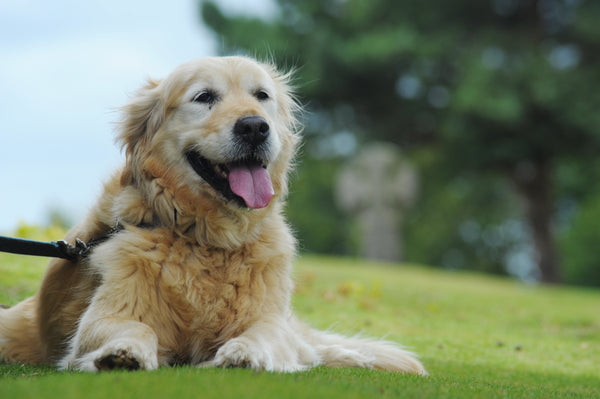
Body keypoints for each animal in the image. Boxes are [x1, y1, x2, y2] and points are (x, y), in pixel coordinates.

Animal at [0, 55, 426, 376]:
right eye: (204, 97)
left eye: (261, 96)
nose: (255, 126)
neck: (207, 239)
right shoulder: (106, 314)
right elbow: (133, 327)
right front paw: (123, 352)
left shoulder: (268, 317)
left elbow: (266, 334)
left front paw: (244, 354)